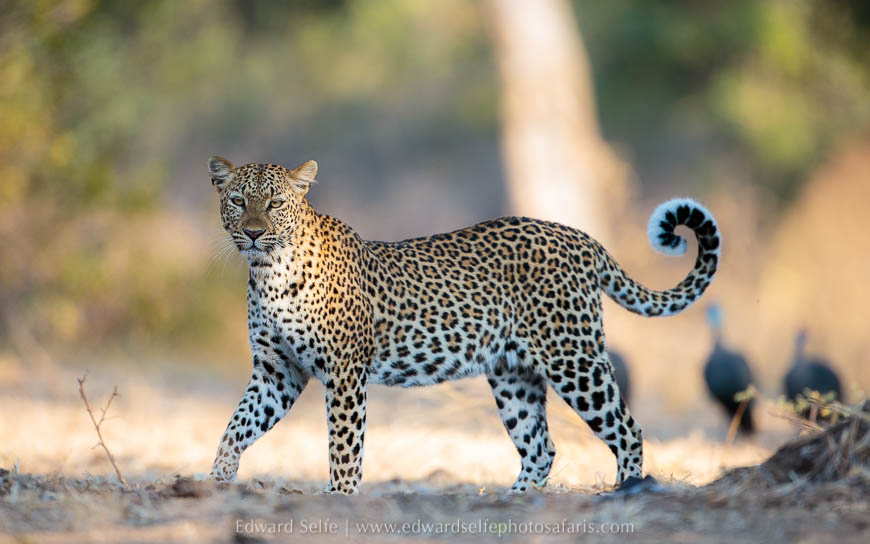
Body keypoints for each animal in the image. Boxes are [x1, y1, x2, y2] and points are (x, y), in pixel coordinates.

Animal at [206, 156, 720, 495]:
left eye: (274, 203)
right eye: (238, 200)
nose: (252, 232)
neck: (269, 272)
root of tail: (581, 237)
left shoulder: (345, 372)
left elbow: (344, 447)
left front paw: (341, 500)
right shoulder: (278, 372)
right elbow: (235, 427)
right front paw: (216, 481)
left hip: (573, 358)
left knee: (627, 428)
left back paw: (625, 493)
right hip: (513, 375)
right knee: (541, 447)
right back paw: (514, 503)